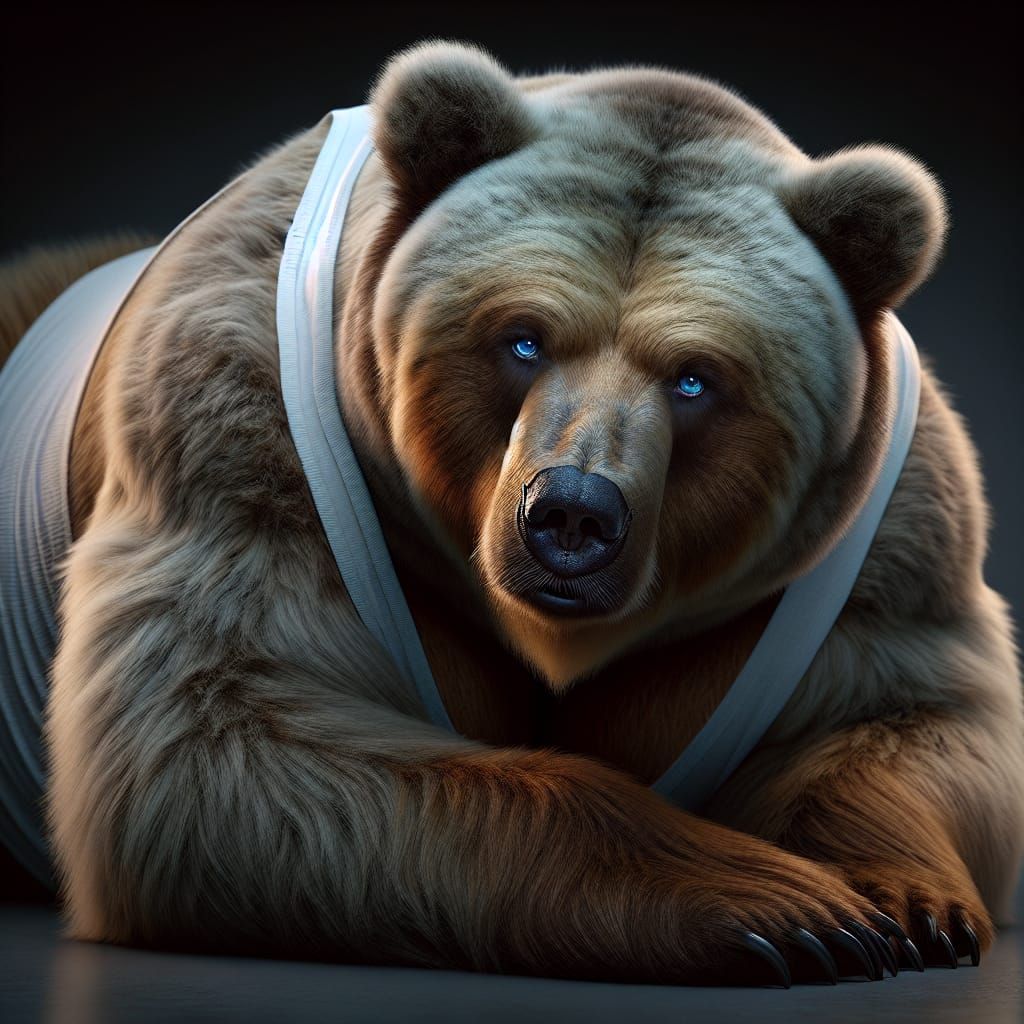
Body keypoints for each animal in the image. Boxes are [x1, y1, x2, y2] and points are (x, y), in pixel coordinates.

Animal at [1, 39, 1021, 986]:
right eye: (521, 338)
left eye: (696, 378)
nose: (571, 514)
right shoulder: (242, 430)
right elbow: (212, 745)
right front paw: (776, 901)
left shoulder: (884, 541)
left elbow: (907, 721)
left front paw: (899, 908)